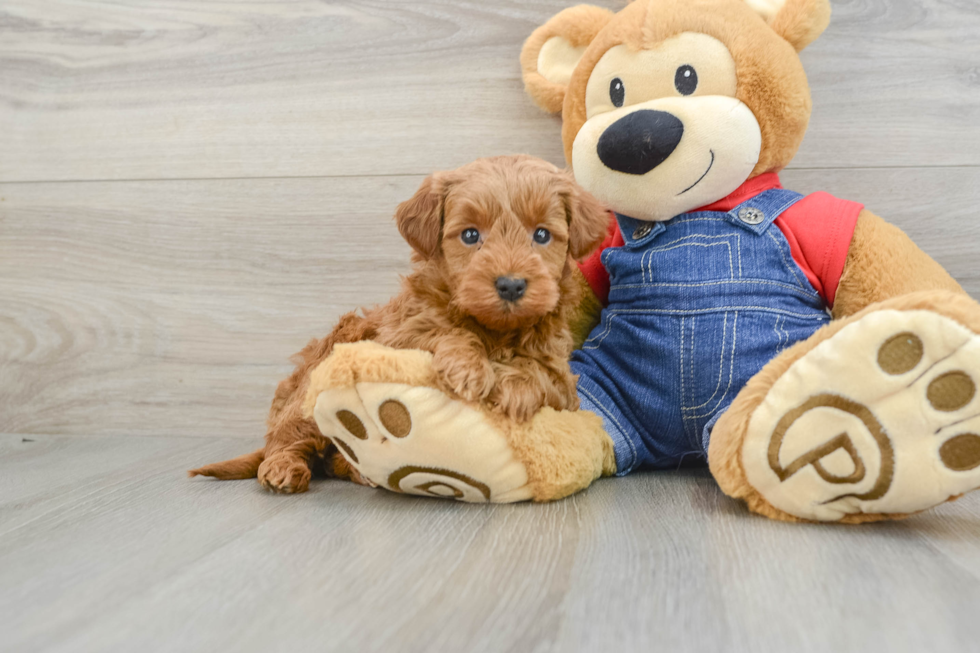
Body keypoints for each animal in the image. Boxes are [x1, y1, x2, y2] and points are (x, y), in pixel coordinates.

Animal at [188, 155, 608, 492]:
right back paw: (283, 468)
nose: (511, 285)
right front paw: (468, 366)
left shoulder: (561, 374)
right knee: (287, 440)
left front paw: (514, 386)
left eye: (542, 234)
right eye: (471, 234)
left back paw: (355, 470)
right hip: (308, 391)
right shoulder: (398, 334)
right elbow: (441, 330)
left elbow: (542, 375)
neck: (494, 328)